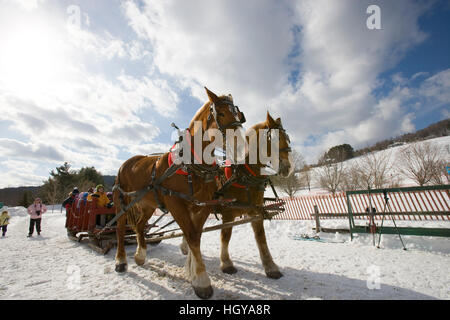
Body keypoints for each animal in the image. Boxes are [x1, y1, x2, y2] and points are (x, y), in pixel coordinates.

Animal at [112, 86, 246, 298]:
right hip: (122, 202)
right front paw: (201, 281)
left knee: (140, 226)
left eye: (239, 115)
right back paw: (120, 261)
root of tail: (127, 163)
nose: (242, 146)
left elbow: (195, 235)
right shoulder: (176, 204)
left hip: (148, 204)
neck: (191, 165)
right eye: (222, 113)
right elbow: (191, 235)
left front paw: (193, 272)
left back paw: (140, 256)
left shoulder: (202, 205)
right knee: (119, 228)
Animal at [181, 112, 294, 278]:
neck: (244, 174)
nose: (289, 168)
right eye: (274, 138)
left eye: (287, 138)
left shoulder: (256, 211)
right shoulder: (228, 213)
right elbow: (225, 236)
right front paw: (226, 263)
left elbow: (261, 237)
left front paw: (270, 266)